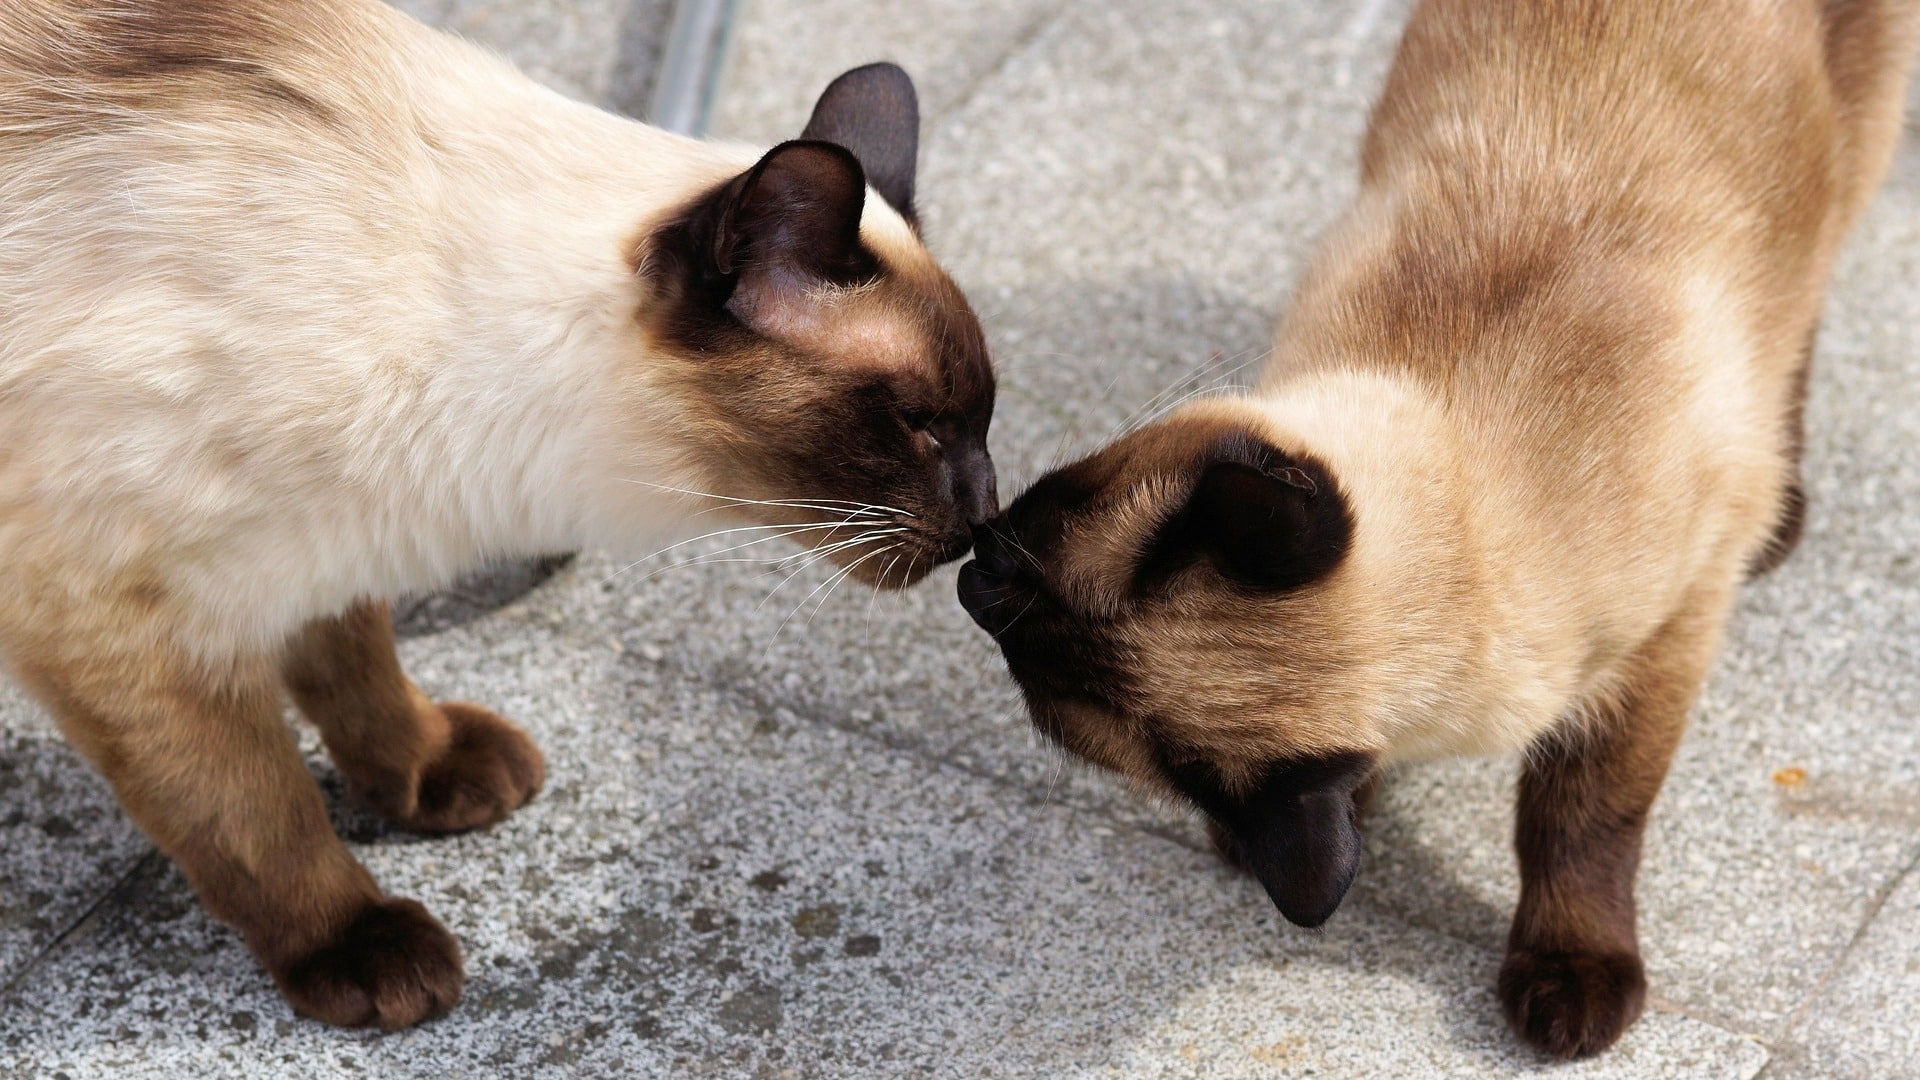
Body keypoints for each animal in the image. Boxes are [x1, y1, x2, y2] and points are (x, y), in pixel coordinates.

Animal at [0, 0, 990, 1022]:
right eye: (920, 425)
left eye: (984, 419)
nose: (985, 518)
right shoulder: (112, 616)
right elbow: (255, 811)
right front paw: (358, 944)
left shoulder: (326, 539)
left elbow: (357, 670)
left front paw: (424, 771)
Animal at [960, 0, 1920, 1060]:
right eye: (1014, 610)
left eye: (1031, 548)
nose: (971, 576)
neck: (1485, 513)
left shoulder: (1661, 645)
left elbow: (1586, 821)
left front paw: (1572, 979)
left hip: (1854, 151)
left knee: (1806, 303)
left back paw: (1781, 512)